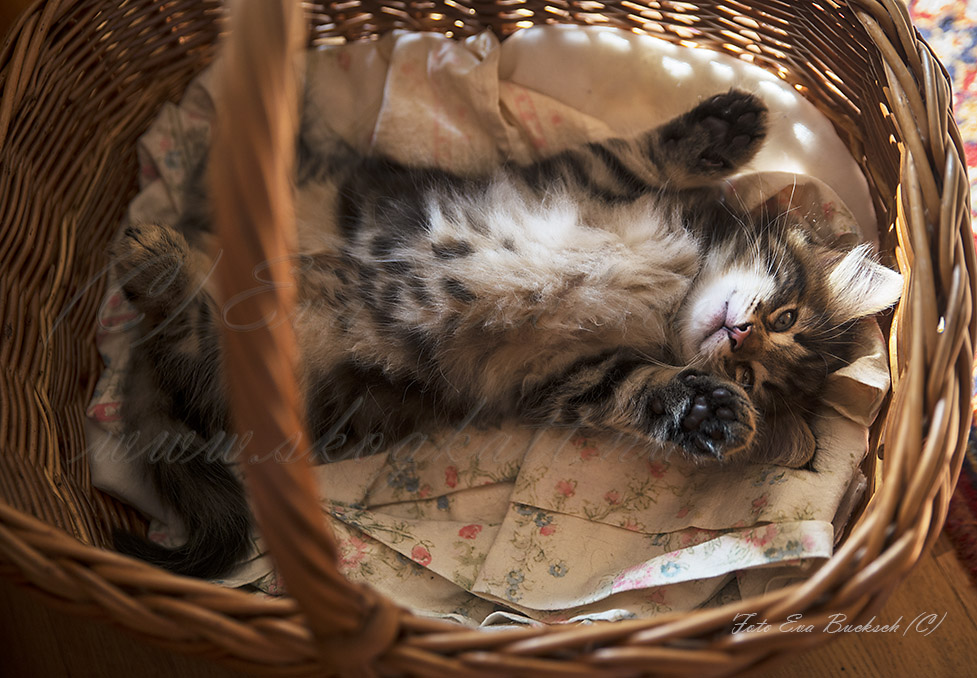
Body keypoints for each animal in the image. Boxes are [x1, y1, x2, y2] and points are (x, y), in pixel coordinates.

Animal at [107, 90, 900, 580]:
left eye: (755, 378)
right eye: (785, 319)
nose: (739, 338)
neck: (670, 294)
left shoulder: (578, 374)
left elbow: (649, 390)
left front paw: (709, 414)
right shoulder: (583, 174)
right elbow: (645, 150)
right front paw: (727, 126)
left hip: (269, 367)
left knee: (186, 338)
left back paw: (158, 268)